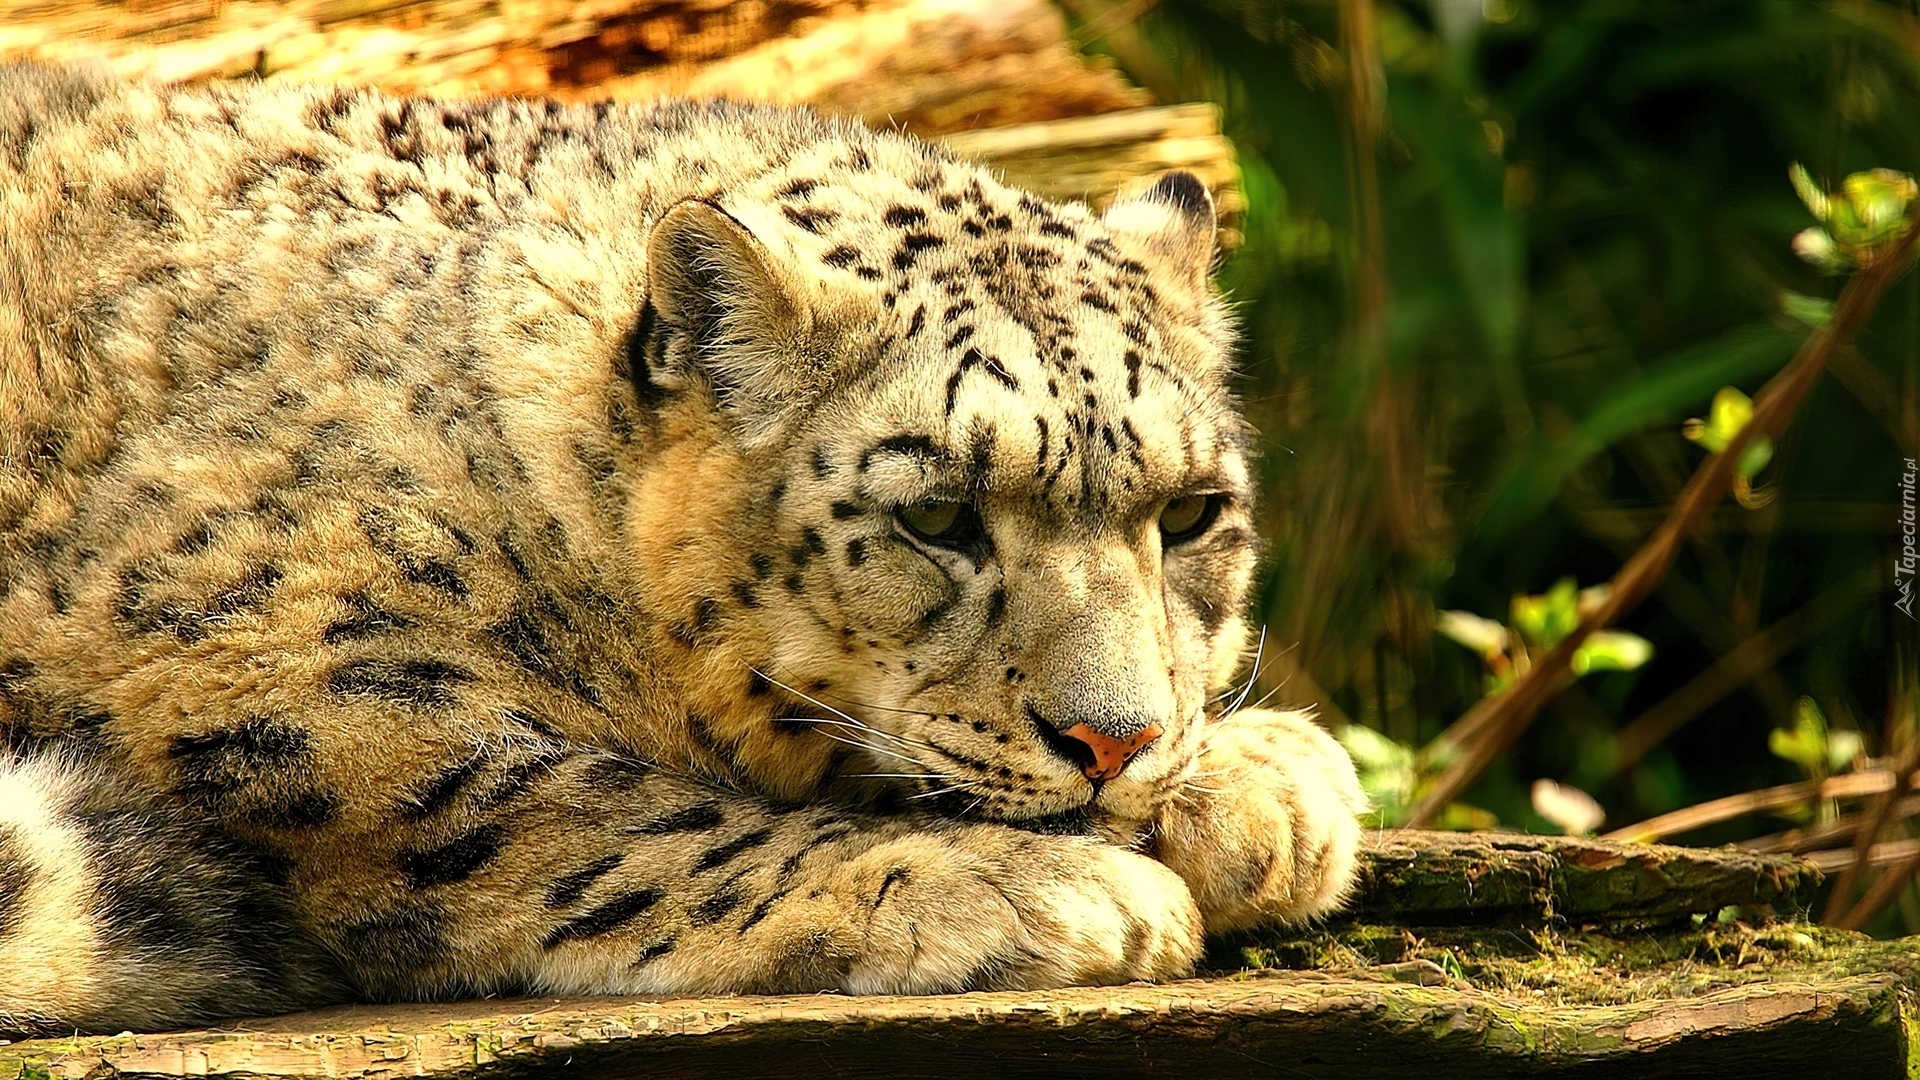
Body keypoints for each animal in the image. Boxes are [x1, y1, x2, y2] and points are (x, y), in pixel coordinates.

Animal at [0, 60, 1367, 1036]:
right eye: (936, 517)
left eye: (1190, 512)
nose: (1115, 742)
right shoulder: (261, 663)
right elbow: (582, 806)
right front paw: (1021, 885)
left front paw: (1269, 783)